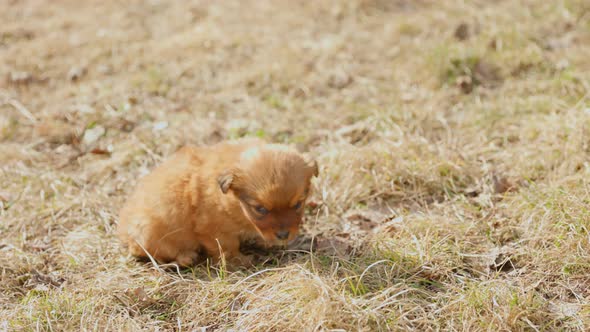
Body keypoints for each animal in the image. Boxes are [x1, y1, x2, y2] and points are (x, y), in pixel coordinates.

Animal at [117, 139, 320, 268]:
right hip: (150, 234)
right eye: (260, 209)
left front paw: (264, 241)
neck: (234, 203)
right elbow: (228, 248)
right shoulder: (215, 231)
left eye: (298, 204)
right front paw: (240, 261)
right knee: (153, 252)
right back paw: (185, 257)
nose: (284, 235)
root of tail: (125, 234)